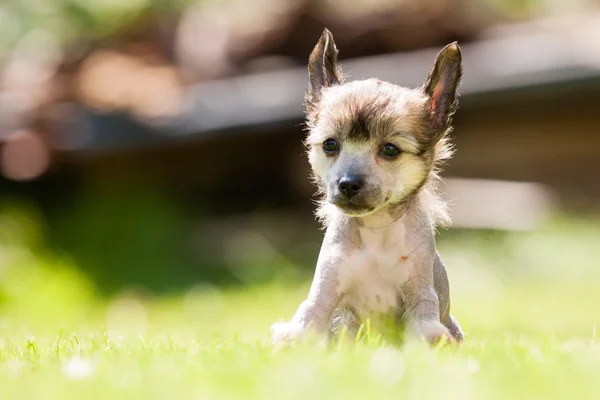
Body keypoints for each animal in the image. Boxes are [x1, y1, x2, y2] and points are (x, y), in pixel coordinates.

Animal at [270, 28, 464, 346]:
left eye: (390, 149)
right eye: (330, 145)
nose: (348, 184)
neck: (376, 233)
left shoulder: (420, 292)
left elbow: (426, 327)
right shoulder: (326, 289)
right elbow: (307, 318)